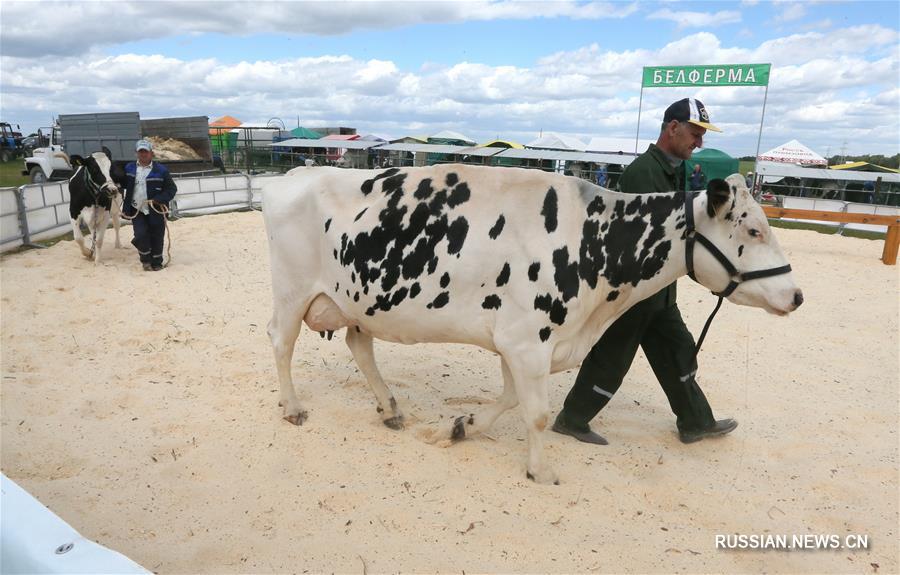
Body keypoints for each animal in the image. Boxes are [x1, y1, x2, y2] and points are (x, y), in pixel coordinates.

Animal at [260, 166, 800, 486]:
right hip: (291, 290)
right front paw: (540, 471)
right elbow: (537, 414)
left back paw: (391, 408)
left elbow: (510, 400)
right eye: (754, 229)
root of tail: (292, 173)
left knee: (359, 344)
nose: (796, 295)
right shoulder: (527, 341)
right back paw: (293, 408)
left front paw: (461, 427)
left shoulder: (520, 342)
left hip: (359, 301)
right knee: (281, 342)